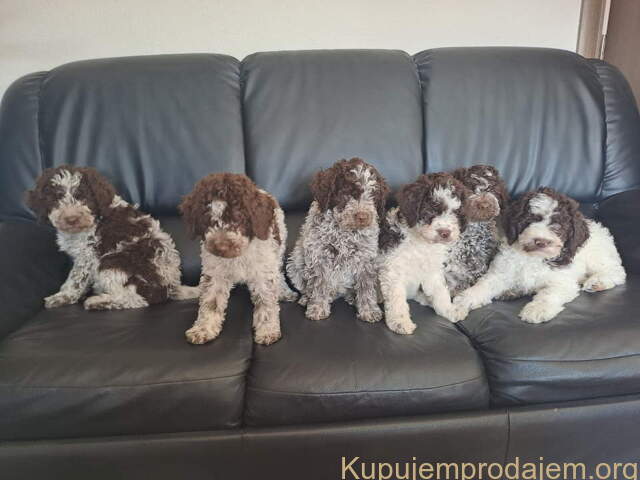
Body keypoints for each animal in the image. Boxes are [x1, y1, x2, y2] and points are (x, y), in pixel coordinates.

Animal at [26, 165, 198, 310]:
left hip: (113, 262)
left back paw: (98, 302)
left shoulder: (88, 254)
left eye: (84, 198)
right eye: (56, 199)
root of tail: (170, 287)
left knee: (136, 299)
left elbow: (75, 279)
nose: (71, 219)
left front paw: (63, 296)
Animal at [179, 173, 296, 345]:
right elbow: (211, 302)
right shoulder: (215, 273)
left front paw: (267, 330)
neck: (238, 255)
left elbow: (266, 301)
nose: (220, 246)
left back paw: (284, 292)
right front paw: (203, 329)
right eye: (206, 220)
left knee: (279, 272)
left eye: (238, 218)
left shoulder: (263, 270)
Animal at [286, 158, 389, 322]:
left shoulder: (365, 258)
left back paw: (352, 297)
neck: (345, 231)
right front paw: (317, 307)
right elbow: (319, 284)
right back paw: (307, 299)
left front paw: (369, 310)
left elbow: (366, 286)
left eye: (373, 196)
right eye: (346, 194)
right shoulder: (319, 255)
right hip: (294, 263)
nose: (363, 217)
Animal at [378, 172, 471, 333]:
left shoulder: (432, 270)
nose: (445, 233)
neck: (421, 242)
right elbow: (396, 297)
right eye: (431, 210)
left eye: (456, 213)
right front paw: (400, 321)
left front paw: (449, 309)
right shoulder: (393, 269)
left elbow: (440, 291)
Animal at [453, 187, 626, 323]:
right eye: (530, 220)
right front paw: (464, 300)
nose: (541, 241)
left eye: (558, 227)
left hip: (597, 257)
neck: (533, 257)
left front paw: (537, 309)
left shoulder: (562, 281)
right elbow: (484, 285)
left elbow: (549, 294)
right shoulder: (500, 272)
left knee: (617, 271)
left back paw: (598, 282)